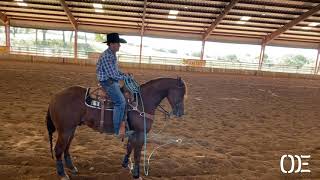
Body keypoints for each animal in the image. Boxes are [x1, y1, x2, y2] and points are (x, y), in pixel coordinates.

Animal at [44, 76, 185, 179]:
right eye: (181, 94)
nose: (180, 113)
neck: (142, 101)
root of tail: (54, 97)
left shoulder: (133, 132)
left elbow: (129, 148)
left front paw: (126, 165)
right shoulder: (140, 133)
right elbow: (137, 154)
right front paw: (136, 175)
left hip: (71, 129)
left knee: (66, 148)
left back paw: (72, 168)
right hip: (65, 130)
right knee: (58, 149)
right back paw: (62, 174)